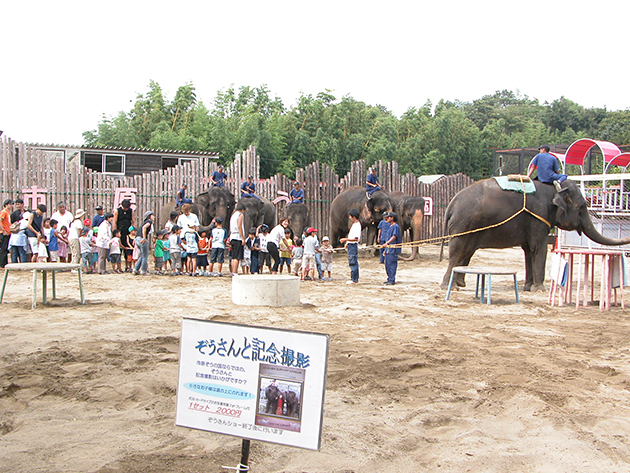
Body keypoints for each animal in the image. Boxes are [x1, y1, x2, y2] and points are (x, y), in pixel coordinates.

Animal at [442, 178, 630, 292]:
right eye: (582, 206)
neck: (554, 188)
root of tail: (451, 205)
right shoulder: (538, 217)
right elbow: (538, 248)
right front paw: (539, 289)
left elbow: (528, 250)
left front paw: (528, 287)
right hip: (463, 224)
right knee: (457, 252)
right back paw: (449, 287)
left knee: (465, 252)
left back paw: (458, 284)